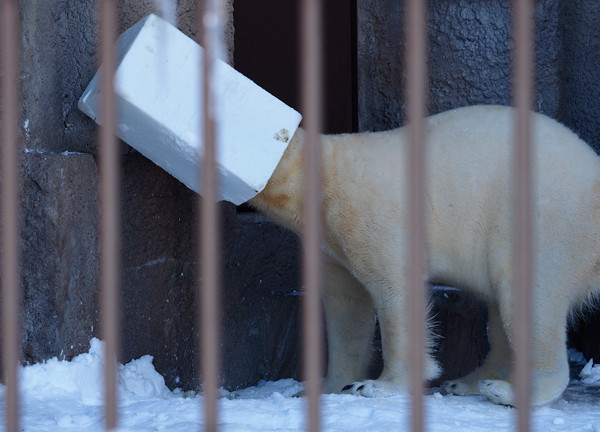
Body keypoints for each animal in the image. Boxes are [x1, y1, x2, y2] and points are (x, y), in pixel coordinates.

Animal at [247, 104, 600, 404]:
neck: (323, 179)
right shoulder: (330, 243)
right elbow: (347, 308)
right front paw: (328, 386)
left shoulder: (369, 215)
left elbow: (396, 291)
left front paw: (374, 386)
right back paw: (470, 381)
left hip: (546, 220)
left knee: (528, 295)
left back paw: (507, 390)